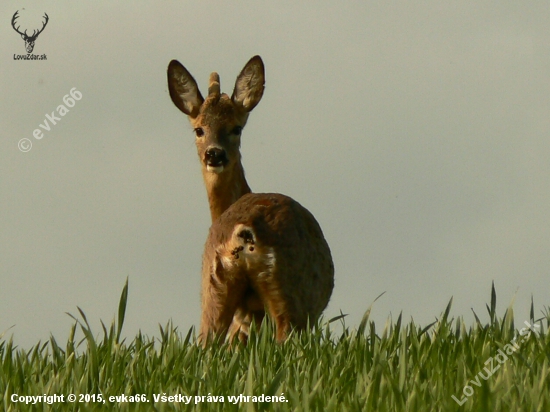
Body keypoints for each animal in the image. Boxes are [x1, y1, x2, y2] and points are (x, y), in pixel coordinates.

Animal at [166, 56, 334, 342]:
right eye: (199, 130)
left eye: (236, 128)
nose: (214, 154)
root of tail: (243, 232)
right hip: (291, 295)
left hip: (214, 287)